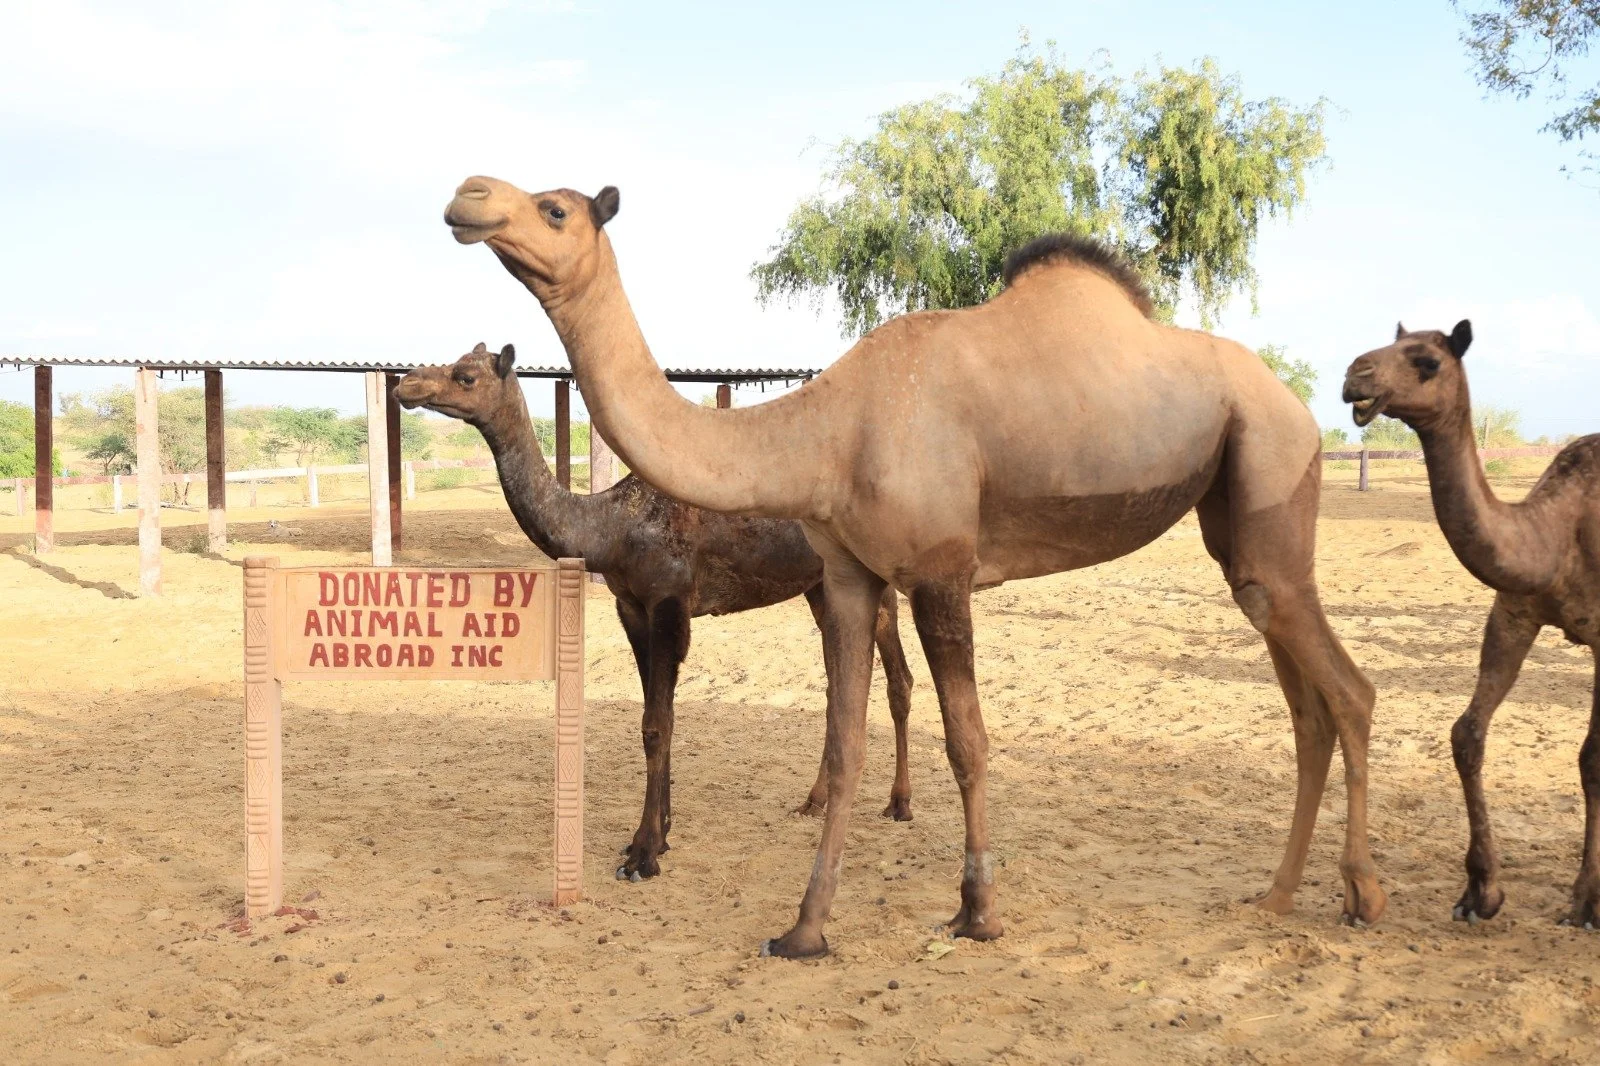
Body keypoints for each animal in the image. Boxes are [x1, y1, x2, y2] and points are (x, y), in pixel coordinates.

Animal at [393, 344, 916, 882]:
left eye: (465, 376)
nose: (405, 385)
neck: (610, 527)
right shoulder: (632, 607)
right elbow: (657, 714)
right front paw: (660, 835)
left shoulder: (669, 602)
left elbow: (656, 723)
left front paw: (642, 853)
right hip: (819, 586)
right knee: (839, 685)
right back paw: (814, 800)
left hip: (875, 572)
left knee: (898, 676)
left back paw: (899, 803)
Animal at [1344, 322, 1600, 926]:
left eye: (1428, 361)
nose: (1354, 376)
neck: (1556, 536)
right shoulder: (1514, 613)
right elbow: (1467, 734)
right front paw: (1480, 892)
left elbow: (1593, 757)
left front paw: (1587, 900)